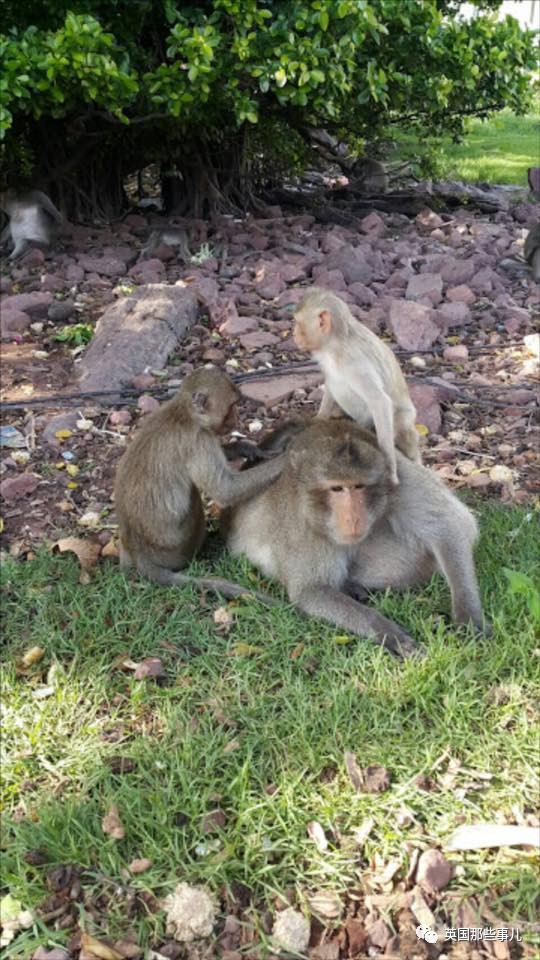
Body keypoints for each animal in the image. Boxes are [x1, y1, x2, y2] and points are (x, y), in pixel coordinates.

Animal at [115, 368, 286, 600]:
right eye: (232, 406)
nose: (237, 418)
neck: (186, 413)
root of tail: (137, 550)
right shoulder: (199, 441)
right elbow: (225, 490)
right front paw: (290, 458)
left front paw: (247, 448)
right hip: (177, 547)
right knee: (194, 495)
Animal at [224, 416, 490, 656]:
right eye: (337, 488)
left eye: (359, 486)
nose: (352, 518)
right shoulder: (300, 518)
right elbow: (310, 590)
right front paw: (386, 631)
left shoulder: (397, 478)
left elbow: (449, 525)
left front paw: (468, 617)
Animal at [294, 288, 420, 488]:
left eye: (298, 323)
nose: (293, 334)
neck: (335, 345)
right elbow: (330, 383)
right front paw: (320, 418)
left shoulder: (355, 362)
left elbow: (380, 401)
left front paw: (390, 469)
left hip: (404, 417)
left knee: (400, 426)